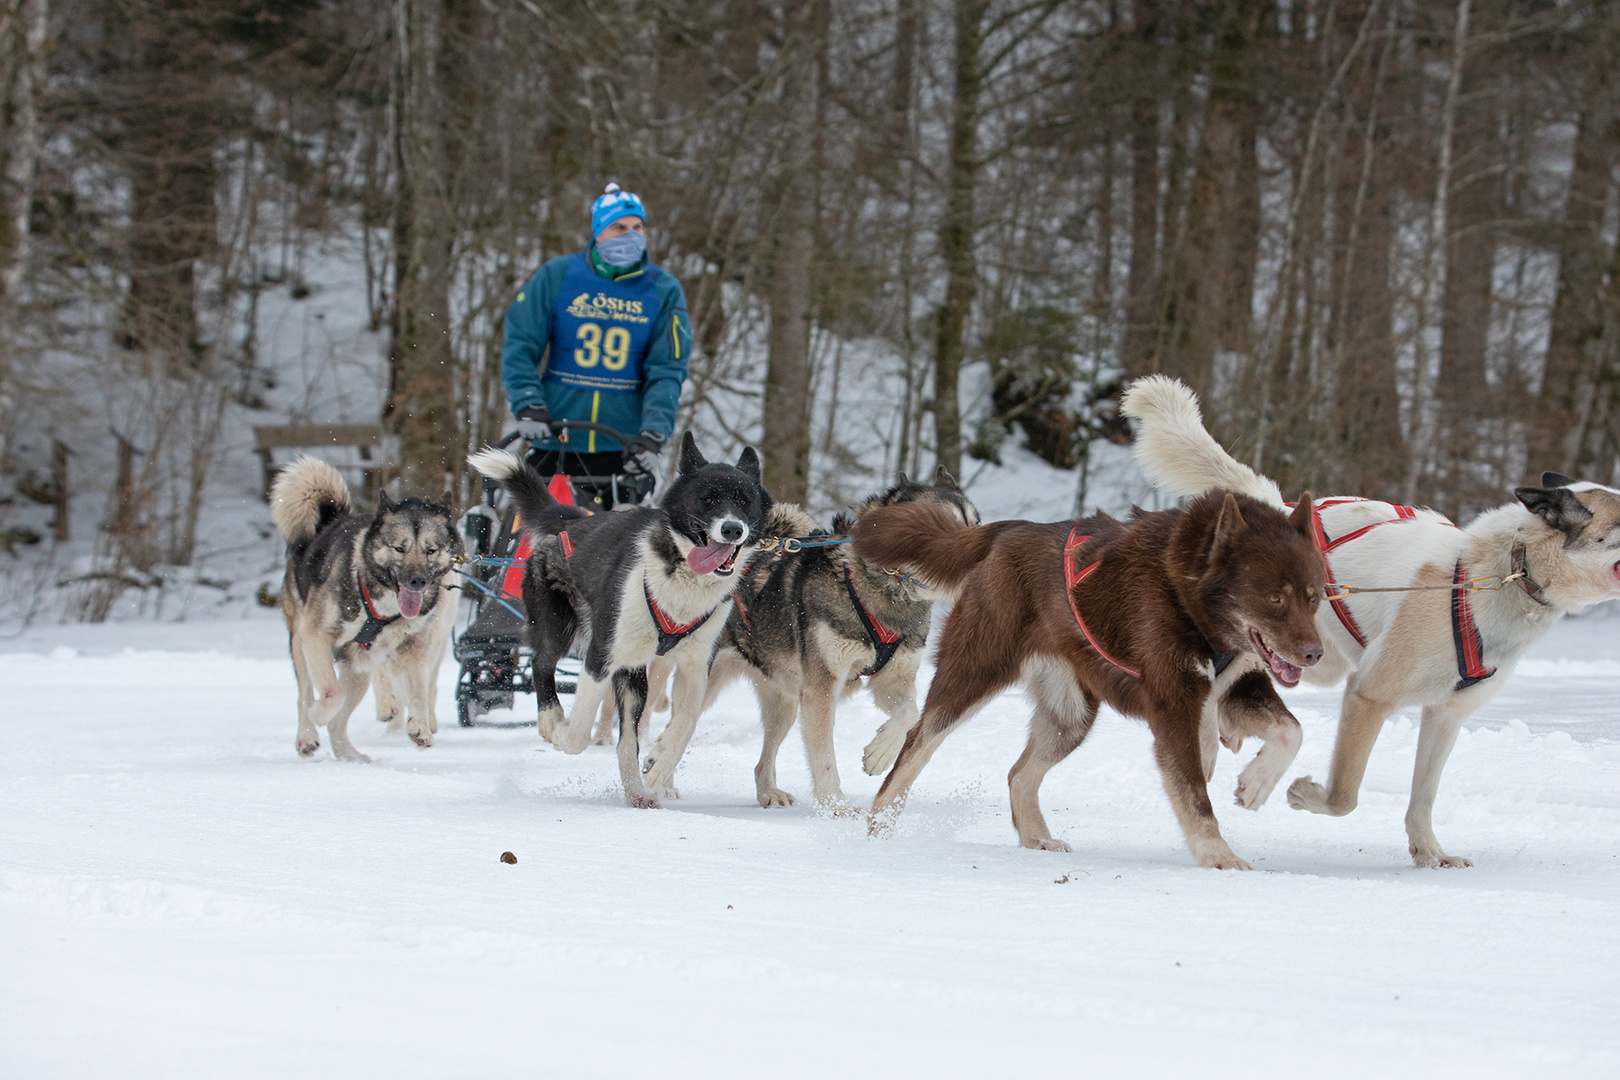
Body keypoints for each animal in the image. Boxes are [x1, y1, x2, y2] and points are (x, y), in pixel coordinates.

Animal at [848, 488, 1328, 867]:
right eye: (1274, 597)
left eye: (1313, 596)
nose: (1314, 654)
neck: (1186, 592)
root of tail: (1008, 530)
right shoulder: (1173, 705)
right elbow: (1193, 793)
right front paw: (1218, 855)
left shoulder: (1238, 685)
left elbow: (1293, 730)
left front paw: (1257, 782)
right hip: (975, 673)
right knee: (918, 742)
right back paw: (879, 826)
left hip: (1071, 717)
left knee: (1019, 774)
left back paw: (1036, 839)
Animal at [1127, 375, 1620, 867]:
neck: (1504, 573)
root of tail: (1278, 509)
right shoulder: (1368, 695)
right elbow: (1345, 797)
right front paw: (1306, 795)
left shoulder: (1445, 715)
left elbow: (1423, 797)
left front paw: (1430, 852)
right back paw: (1218, 747)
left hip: (1313, 659)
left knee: (1232, 678)